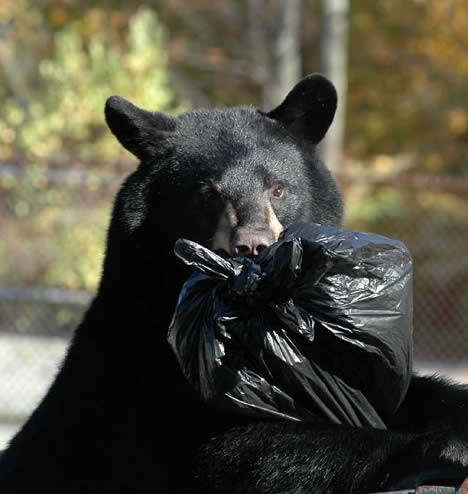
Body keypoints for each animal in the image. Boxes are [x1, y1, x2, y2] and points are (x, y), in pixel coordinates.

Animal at [0, 74, 468, 494]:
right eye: (209, 193)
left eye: (277, 189)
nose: (252, 244)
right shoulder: (155, 368)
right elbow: (240, 450)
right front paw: (444, 445)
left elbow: (380, 392)